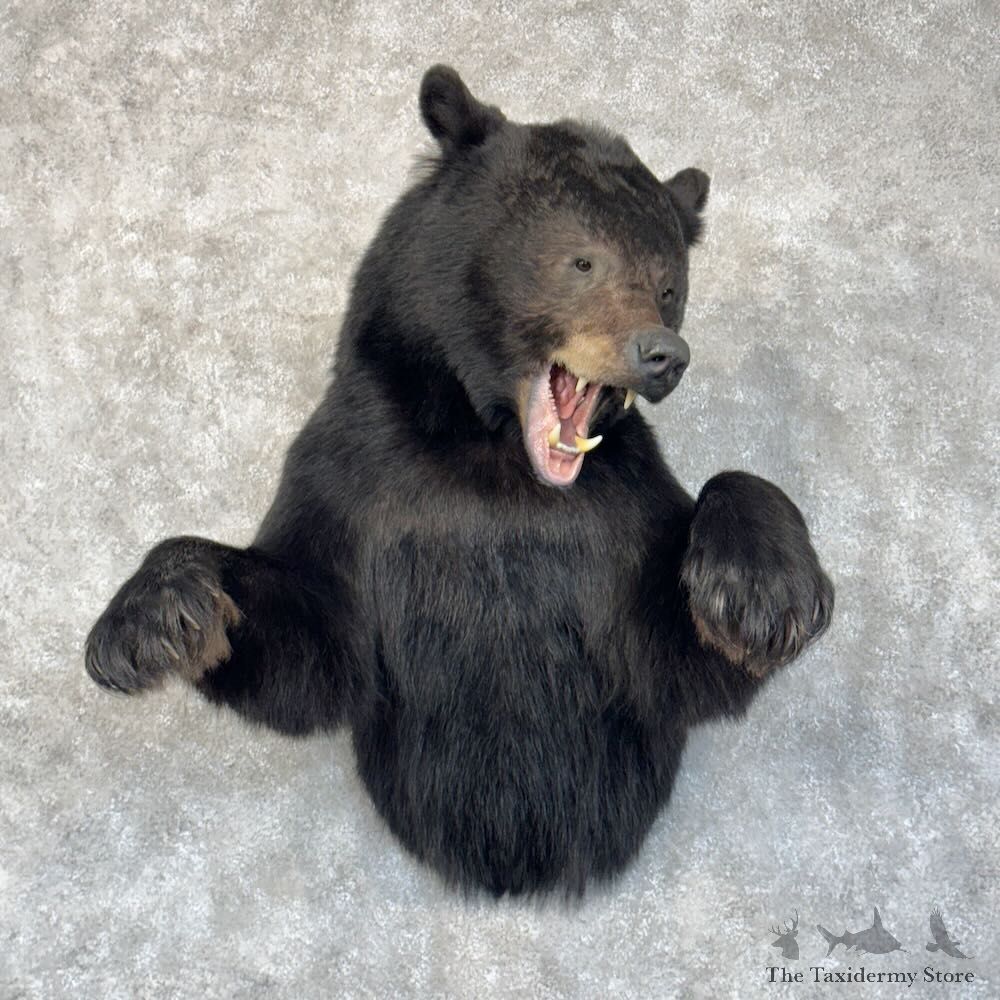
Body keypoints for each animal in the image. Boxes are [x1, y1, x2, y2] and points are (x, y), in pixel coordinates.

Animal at [85, 65, 833, 897]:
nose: (662, 353)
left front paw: (761, 595)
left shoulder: (621, 515)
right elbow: (310, 646)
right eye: (583, 260)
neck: (492, 449)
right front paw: (149, 623)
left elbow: (683, 652)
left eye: (669, 283)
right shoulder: (357, 476)